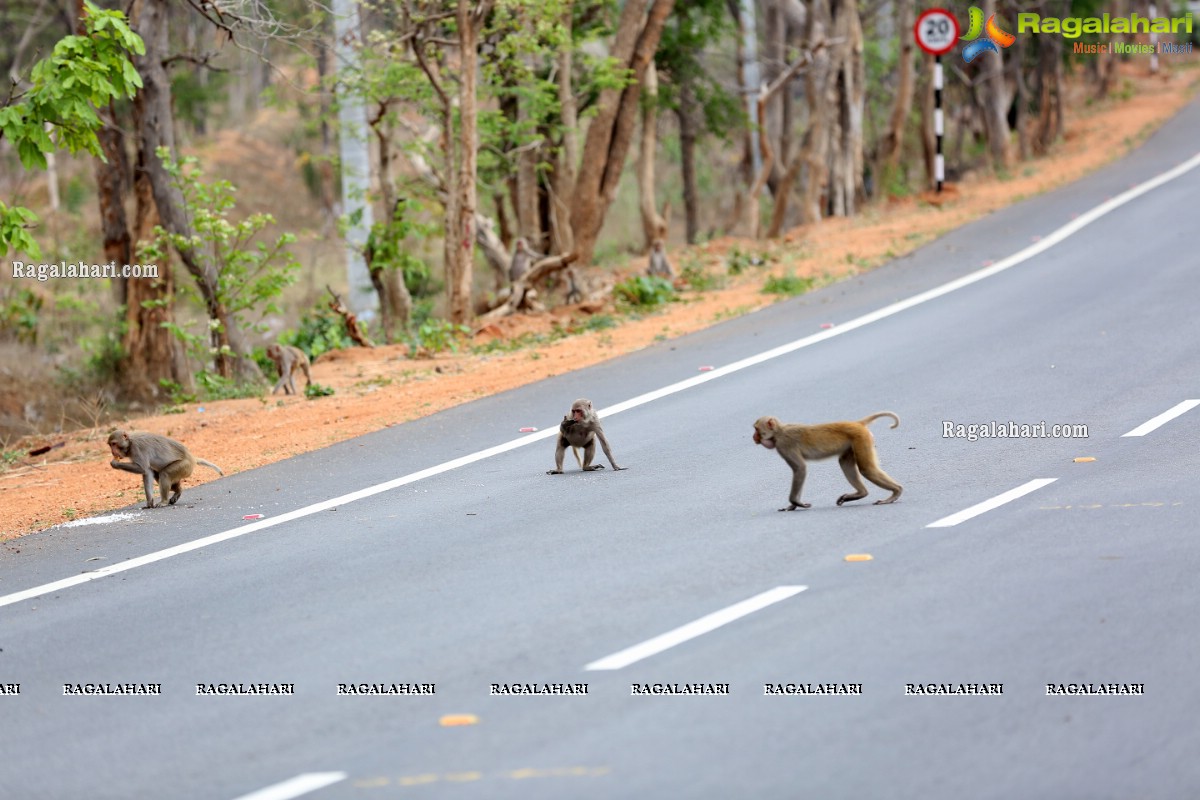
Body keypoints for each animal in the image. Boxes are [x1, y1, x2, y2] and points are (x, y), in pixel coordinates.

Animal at [748, 412, 902, 513]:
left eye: (756, 429)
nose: (753, 437)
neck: (778, 432)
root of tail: (857, 423)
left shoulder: (784, 445)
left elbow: (800, 468)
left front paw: (795, 502)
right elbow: (800, 470)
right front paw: (792, 506)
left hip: (860, 438)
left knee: (866, 469)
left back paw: (896, 491)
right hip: (854, 442)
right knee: (844, 463)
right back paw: (860, 493)